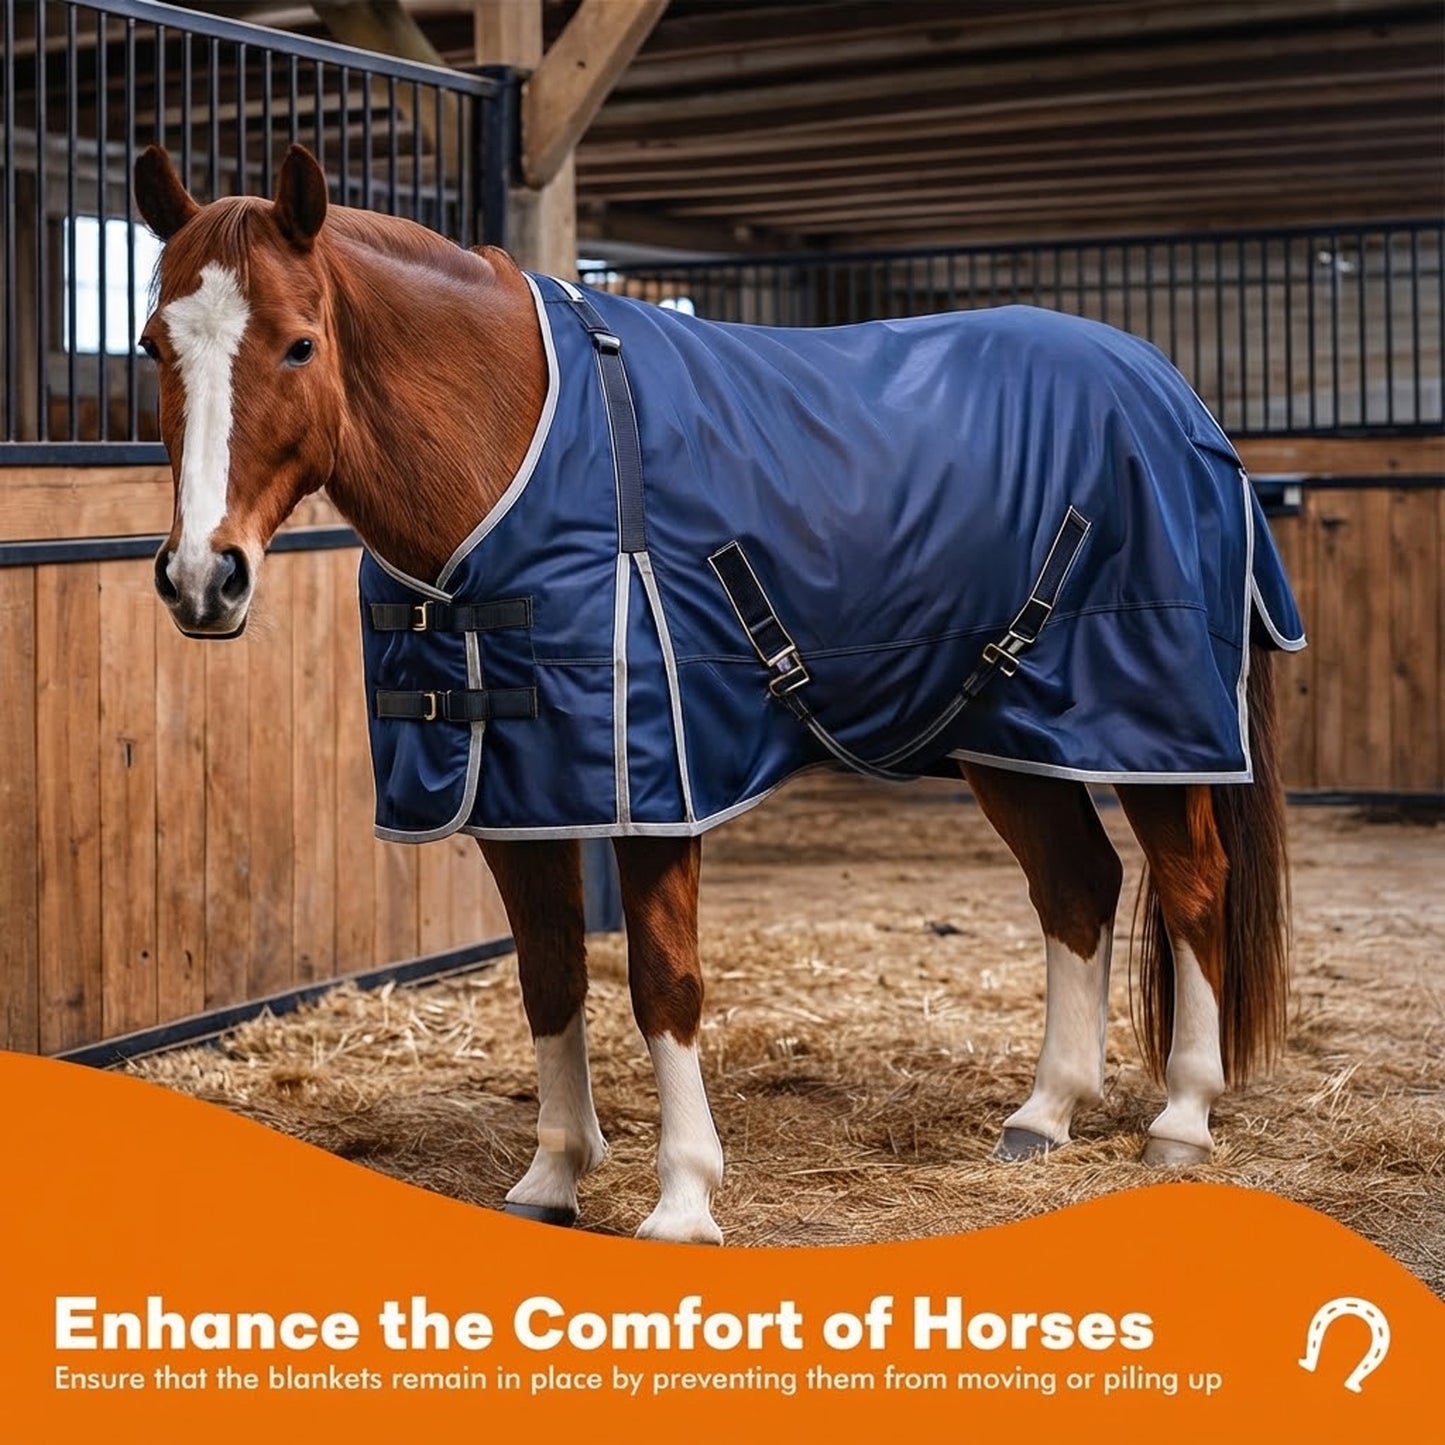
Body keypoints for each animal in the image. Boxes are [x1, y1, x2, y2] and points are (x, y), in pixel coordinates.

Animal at [133, 143, 1304, 1245]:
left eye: (298, 343)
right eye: (154, 344)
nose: (202, 576)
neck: (515, 451)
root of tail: (1170, 391)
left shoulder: (655, 783)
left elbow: (664, 982)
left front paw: (683, 1197)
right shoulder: (517, 794)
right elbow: (550, 975)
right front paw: (551, 1177)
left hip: (1153, 720)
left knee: (1191, 882)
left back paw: (1180, 1117)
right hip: (1012, 735)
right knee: (1076, 887)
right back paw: (1045, 1111)